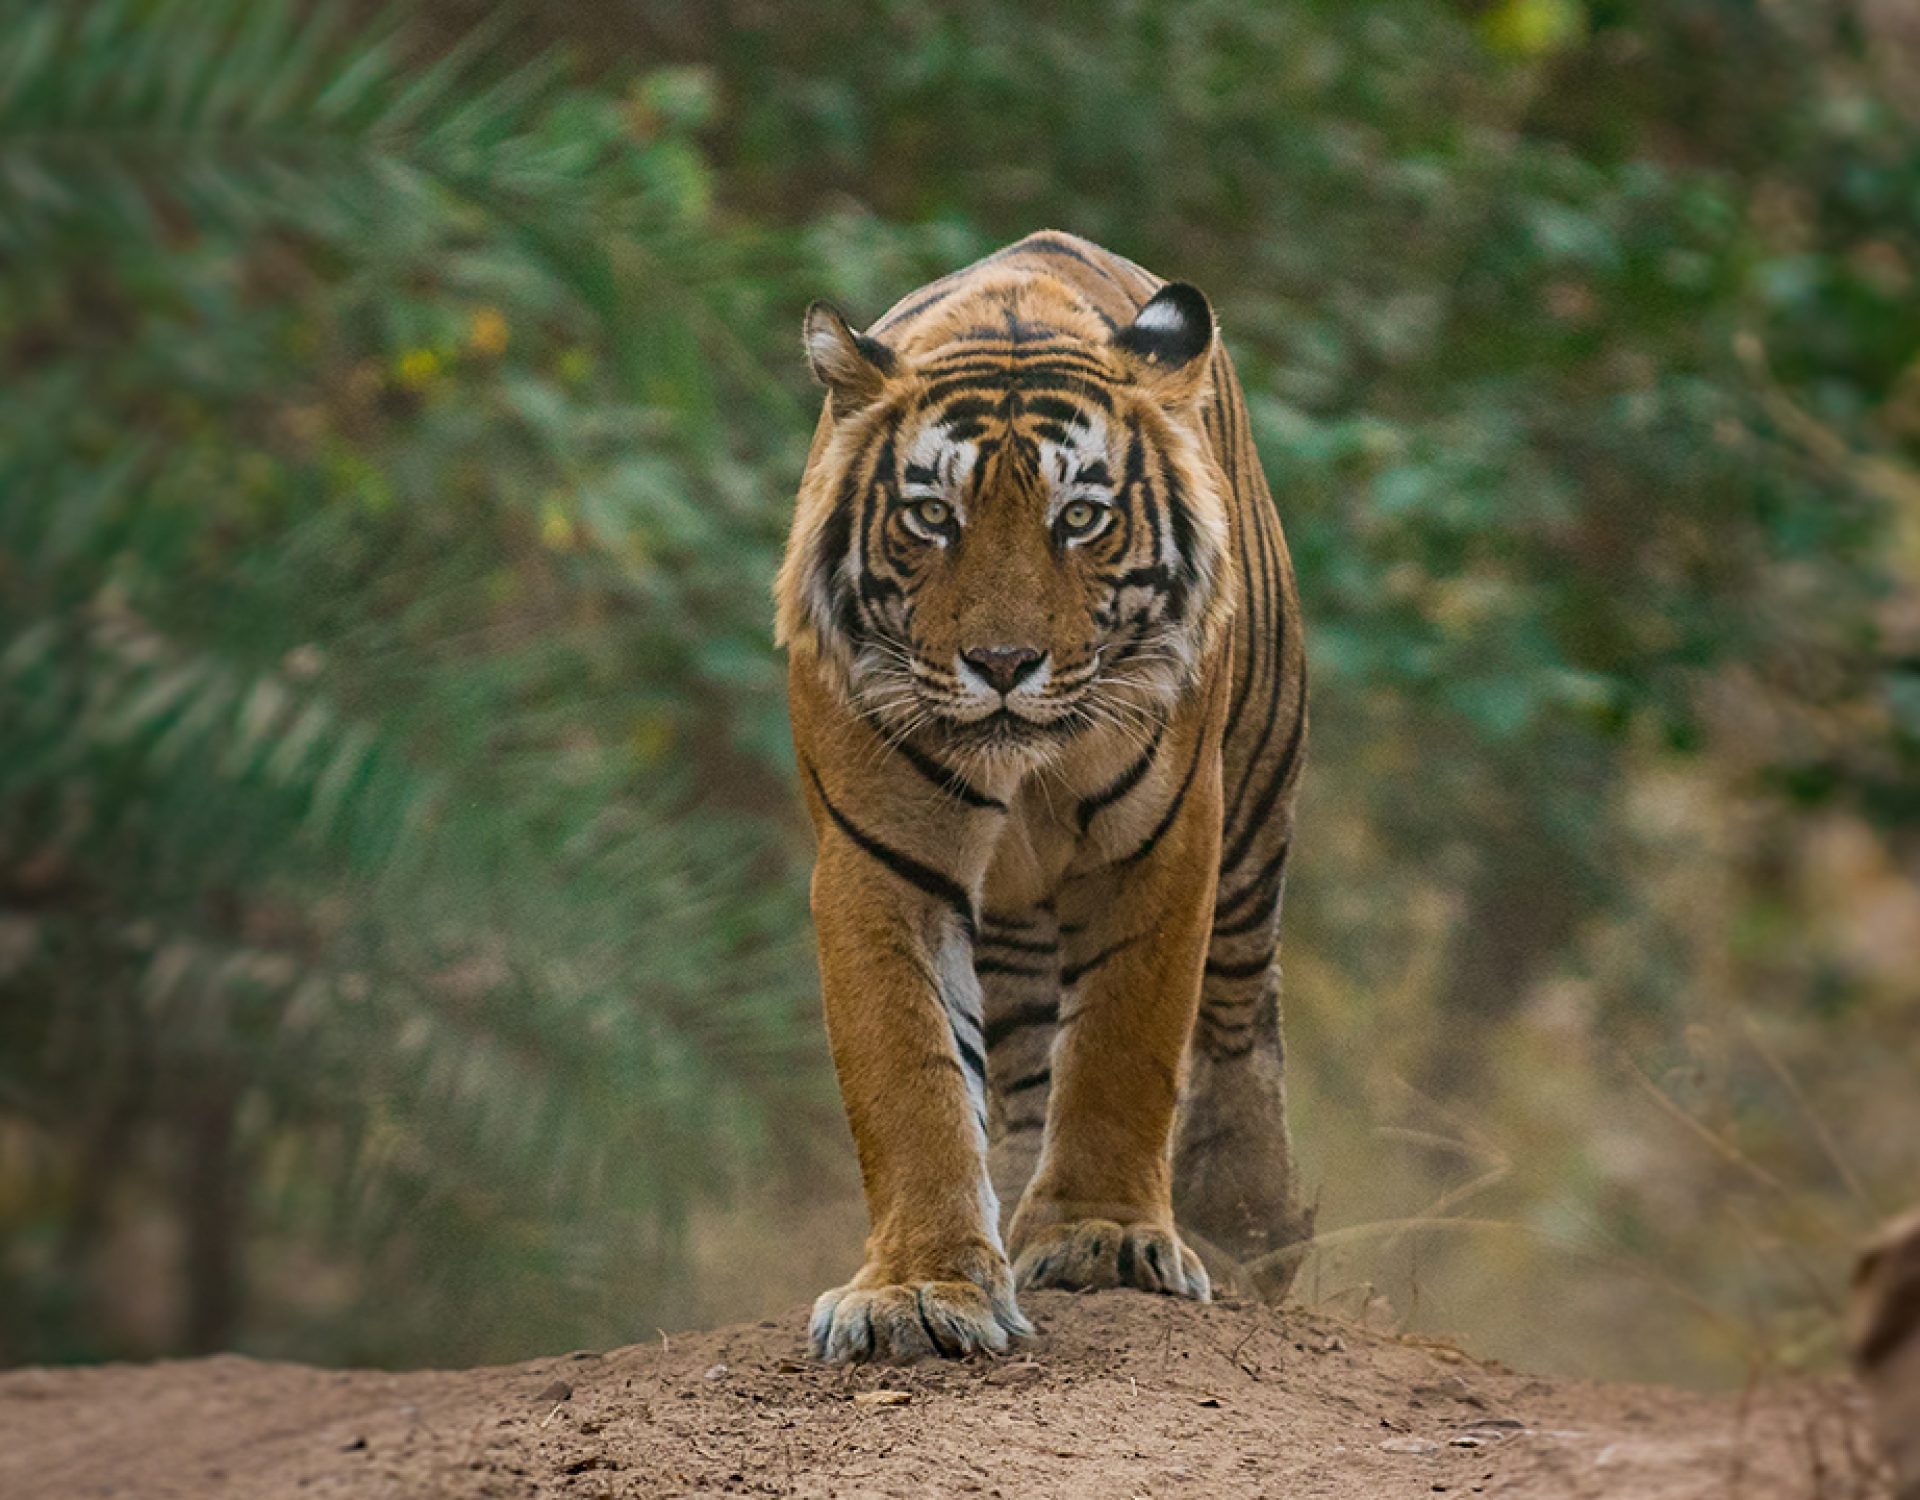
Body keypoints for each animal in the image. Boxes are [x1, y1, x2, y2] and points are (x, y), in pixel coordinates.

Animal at [776, 230, 1312, 1362]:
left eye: (1082, 519)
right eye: (933, 516)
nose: (1003, 663)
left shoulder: (1165, 842)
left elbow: (1124, 1045)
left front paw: (1105, 1242)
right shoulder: (877, 859)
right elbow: (914, 1077)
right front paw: (922, 1289)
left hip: (1255, 815)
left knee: (1240, 1012)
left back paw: (1246, 1229)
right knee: (1022, 1067)